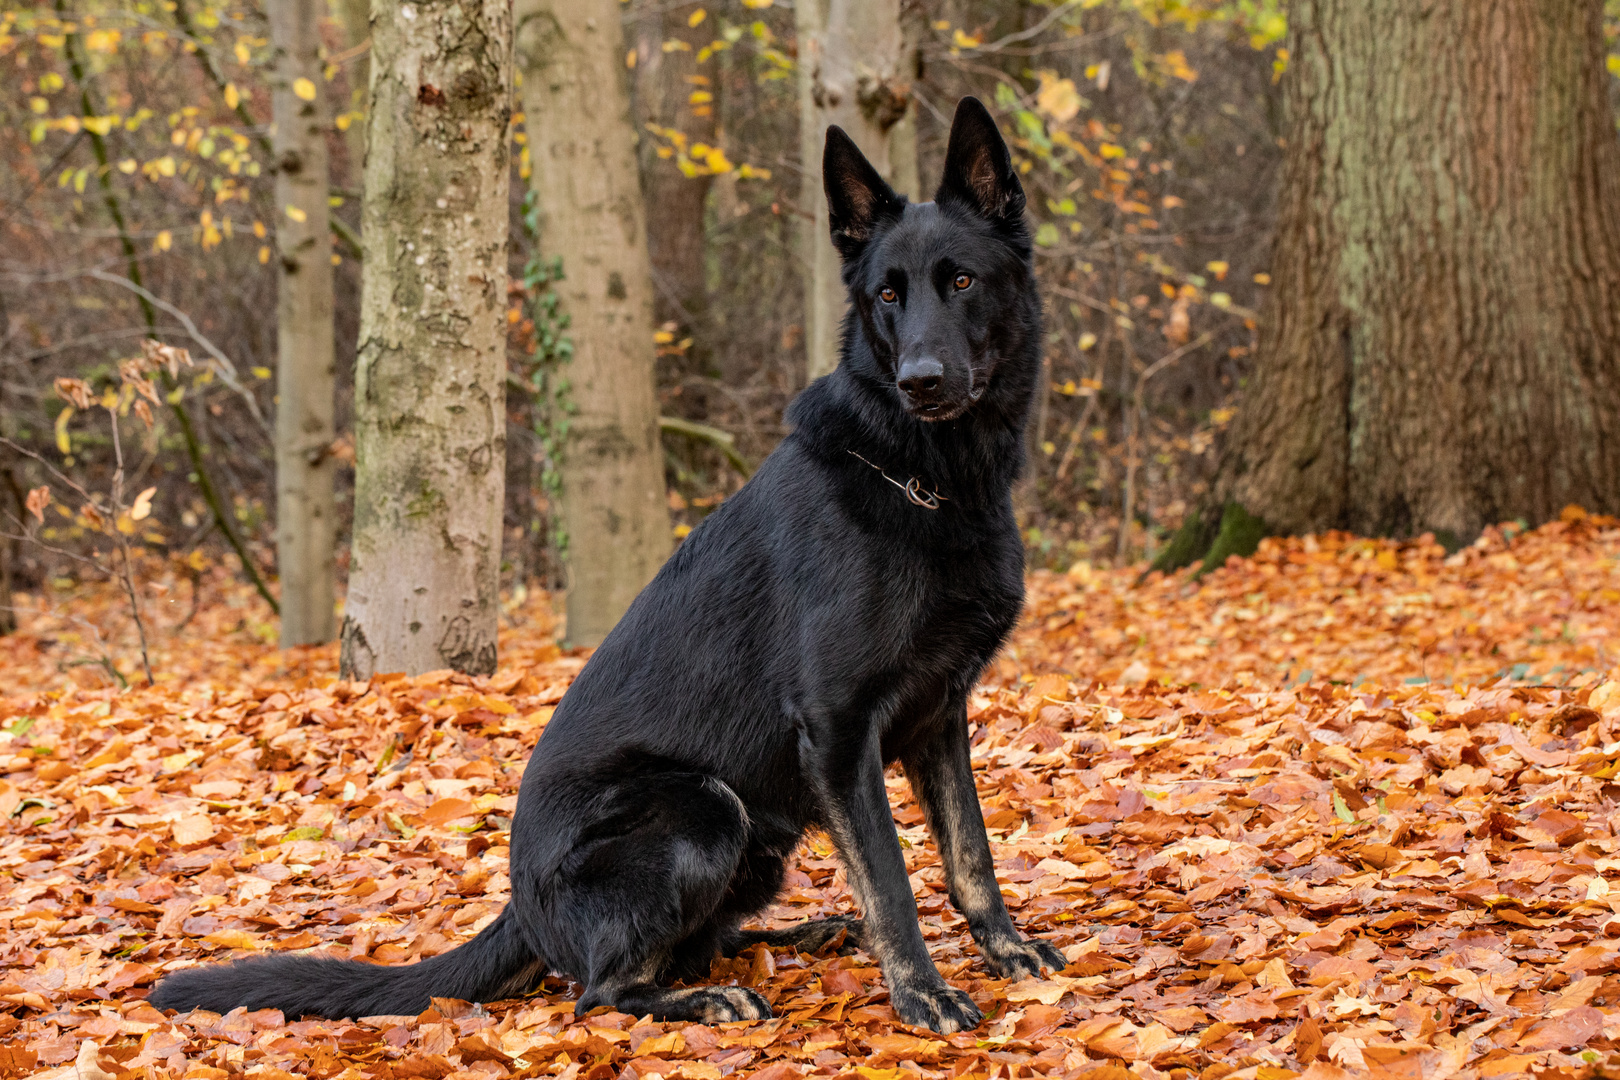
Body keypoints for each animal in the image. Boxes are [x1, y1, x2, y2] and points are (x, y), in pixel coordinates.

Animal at [154, 97, 1062, 1036]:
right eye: (888, 294)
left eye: (962, 282)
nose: (920, 380)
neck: (925, 478)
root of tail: (520, 909)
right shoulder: (840, 730)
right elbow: (890, 879)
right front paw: (922, 992)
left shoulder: (938, 714)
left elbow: (970, 854)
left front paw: (1006, 949)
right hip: (705, 807)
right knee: (603, 990)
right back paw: (709, 996)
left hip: (756, 840)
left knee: (693, 941)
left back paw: (799, 934)